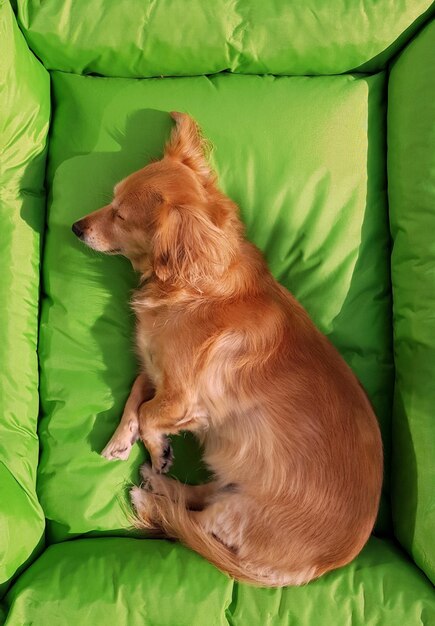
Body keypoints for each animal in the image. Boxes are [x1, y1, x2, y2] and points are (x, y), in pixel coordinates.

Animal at [72, 112, 384, 584]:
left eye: (120, 215)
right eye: (111, 201)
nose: (76, 227)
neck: (193, 288)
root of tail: (321, 567)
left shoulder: (185, 398)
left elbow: (148, 412)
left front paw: (156, 447)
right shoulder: (157, 369)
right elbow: (135, 395)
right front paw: (122, 441)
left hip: (240, 509)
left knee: (194, 523)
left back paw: (152, 499)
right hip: (230, 485)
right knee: (200, 494)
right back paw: (159, 483)